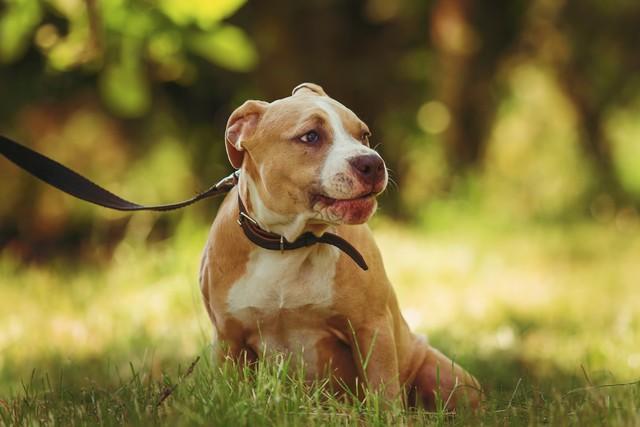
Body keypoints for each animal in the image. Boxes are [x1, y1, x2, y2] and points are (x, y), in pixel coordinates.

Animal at [200, 83, 480, 412]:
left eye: (364, 135)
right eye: (310, 136)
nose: (372, 163)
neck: (289, 244)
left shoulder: (372, 327)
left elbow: (384, 390)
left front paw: (389, 416)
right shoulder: (229, 340)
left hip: (445, 375)